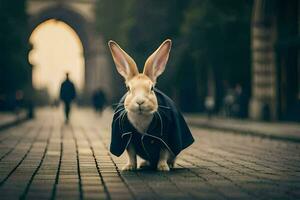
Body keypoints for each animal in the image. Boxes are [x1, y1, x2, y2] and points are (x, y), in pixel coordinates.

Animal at [108, 39, 195, 172]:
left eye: (152, 88)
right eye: (128, 88)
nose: (140, 102)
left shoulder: (164, 138)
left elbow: (163, 153)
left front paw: (163, 168)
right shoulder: (128, 138)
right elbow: (131, 154)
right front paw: (129, 167)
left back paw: (168, 165)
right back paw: (144, 164)